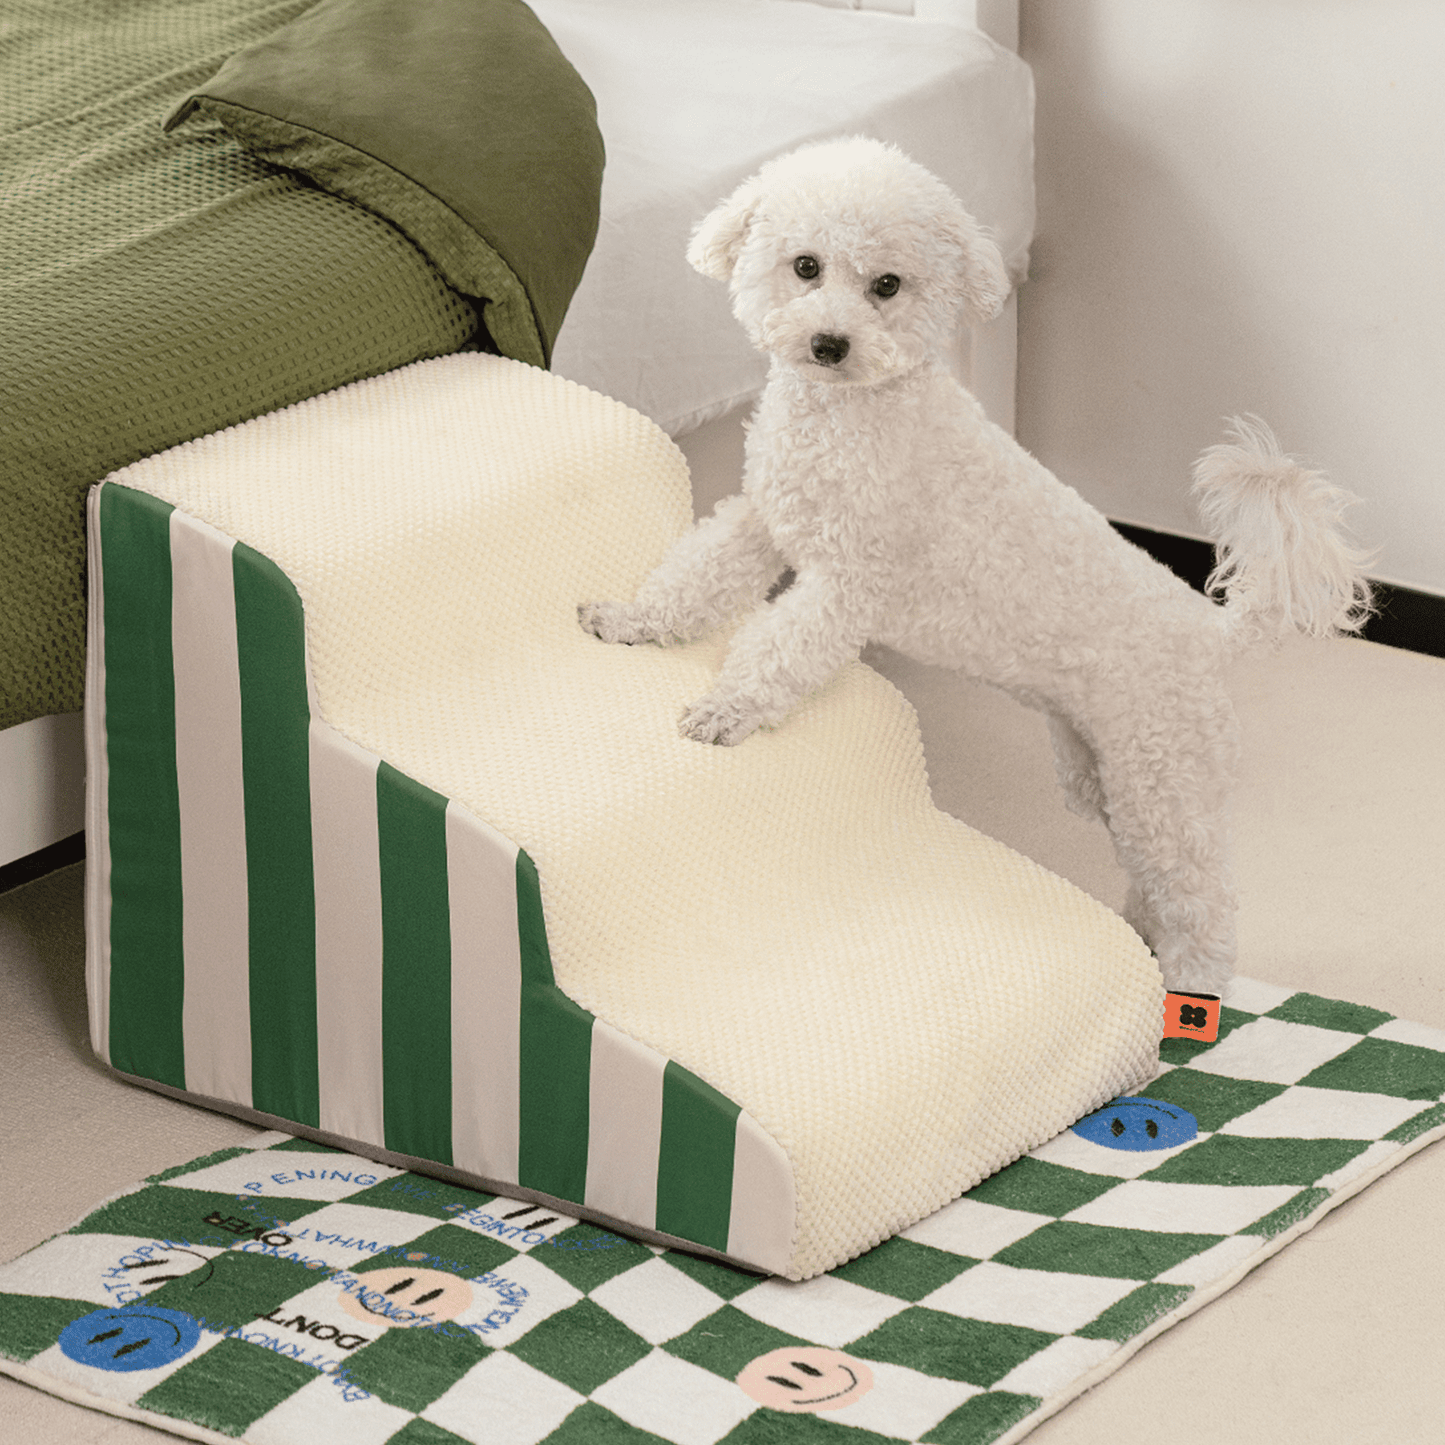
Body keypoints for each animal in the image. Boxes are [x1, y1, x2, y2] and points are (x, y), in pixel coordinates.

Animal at [578, 135, 1375, 999]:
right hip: (1100, 775)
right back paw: (1138, 932)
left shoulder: (846, 584)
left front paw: (726, 709)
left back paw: (1185, 985)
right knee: (1150, 879)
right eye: (804, 266)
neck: (848, 414)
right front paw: (629, 622)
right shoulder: (764, 519)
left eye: (886, 285)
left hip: (1166, 779)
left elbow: (776, 649)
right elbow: (695, 573)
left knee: (1205, 902)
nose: (829, 344)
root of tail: (1212, 630)